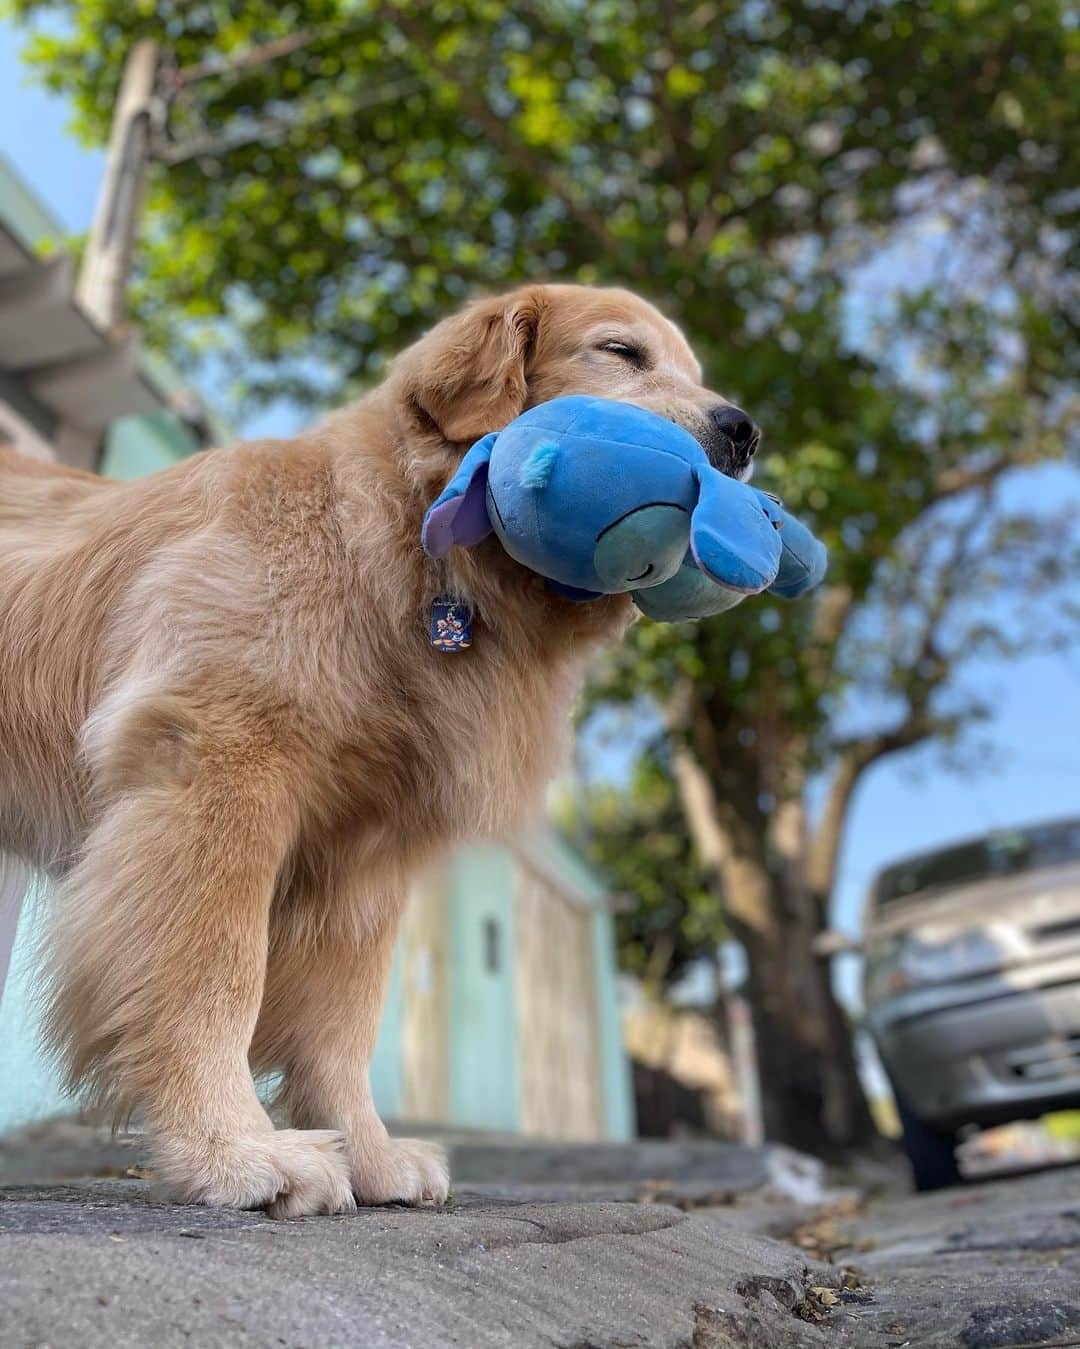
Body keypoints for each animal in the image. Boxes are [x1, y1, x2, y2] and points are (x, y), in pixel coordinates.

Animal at [0, 284, 760, 1214]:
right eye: (622, 353)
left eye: (693, 370)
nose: (743, 432)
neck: (398, 551)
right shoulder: (216, 773)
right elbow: (213, 978)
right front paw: (236, 1149)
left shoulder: (363, 857)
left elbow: (341, 1024)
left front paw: (366, 1151)